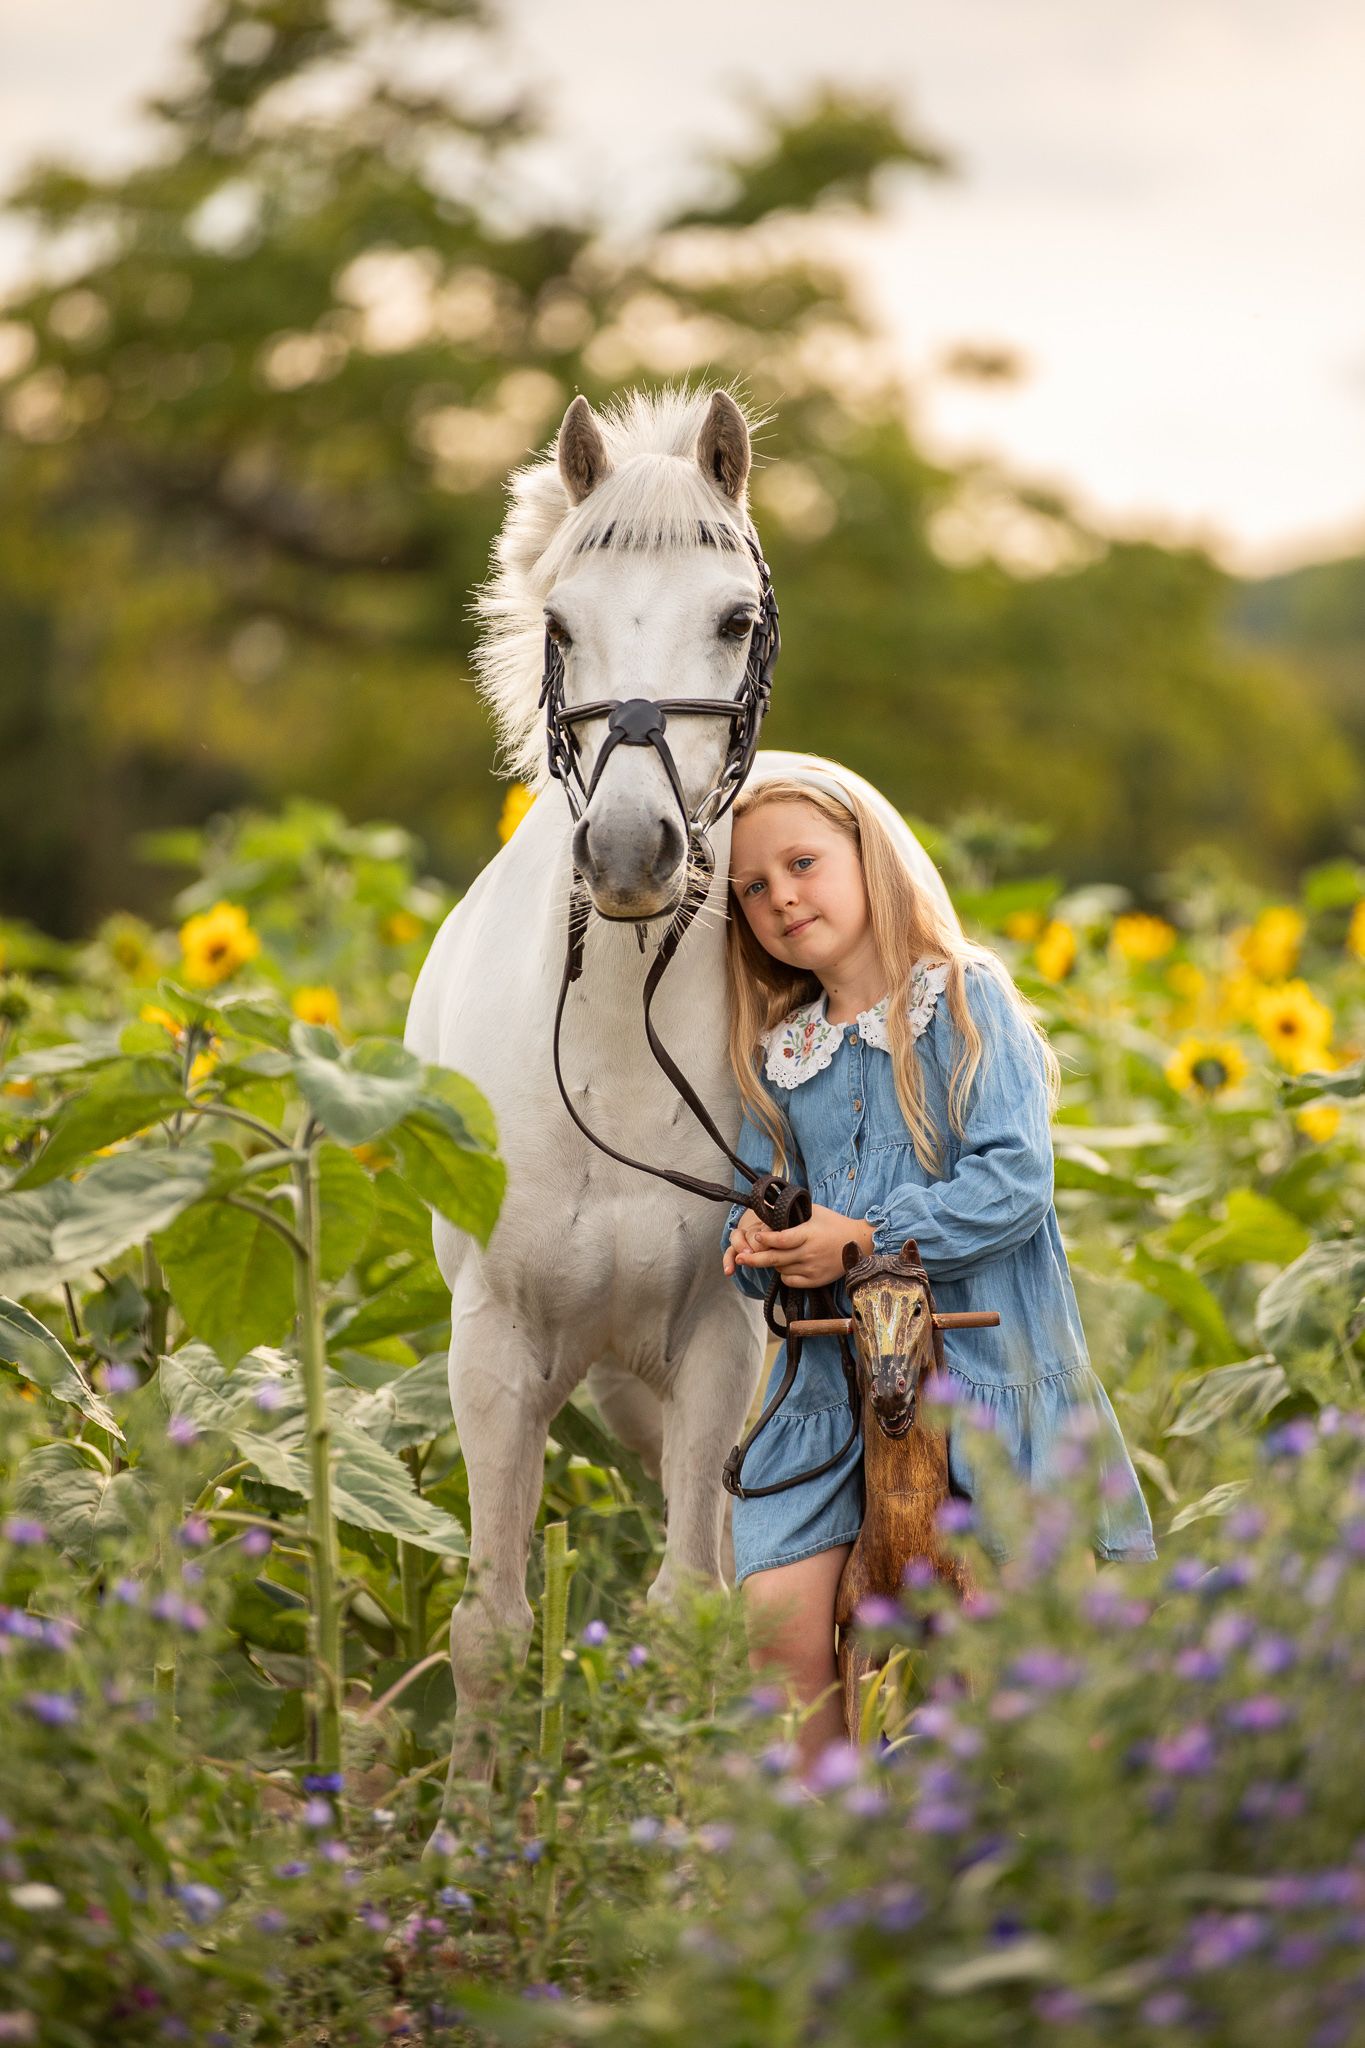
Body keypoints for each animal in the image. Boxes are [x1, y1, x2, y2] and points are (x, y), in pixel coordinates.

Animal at [404, 387, 778, 1799]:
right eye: (561, 623)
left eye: (733, 619)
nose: (627, 854)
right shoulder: (496, 1345)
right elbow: (491, 1625)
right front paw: (464, 1834)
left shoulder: (725, 1340)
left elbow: (691, 1612)